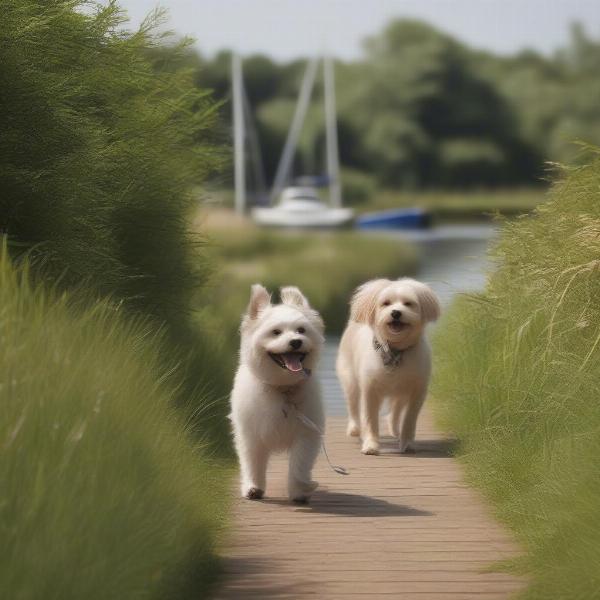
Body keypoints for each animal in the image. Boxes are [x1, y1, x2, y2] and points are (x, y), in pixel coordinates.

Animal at [230, 284, 326, 504]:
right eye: (275, 332)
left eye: (301, 330)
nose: (296, 341)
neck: (283, 388)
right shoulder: (251, 435)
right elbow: (253, 462)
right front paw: (253, 488)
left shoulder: (305, 433)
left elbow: (299, 464)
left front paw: (299, 490)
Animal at [338, 278, 440, 454]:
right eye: (386, 303)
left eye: (408, 303)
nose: (396, 313)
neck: (395, 350)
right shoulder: (370, 389)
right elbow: (370, 419)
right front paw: (371, 445)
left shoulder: (417, 390)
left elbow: (409, 419)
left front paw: (407, 443)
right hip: (350, 378)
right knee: (353, 404)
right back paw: (355, 428)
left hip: (401, 390)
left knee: (395, 411)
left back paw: (395, 431)